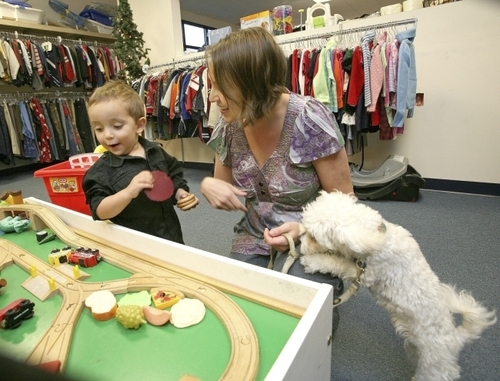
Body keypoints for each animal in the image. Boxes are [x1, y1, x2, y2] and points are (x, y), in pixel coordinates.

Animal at [296, 191, 496, 378]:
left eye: (313, 237)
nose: (299, 242)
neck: (376, 236)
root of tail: (456, 338)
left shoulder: (366, 273)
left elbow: (336, 263)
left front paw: (313, 261)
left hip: (434, 367)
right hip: (415, 348)